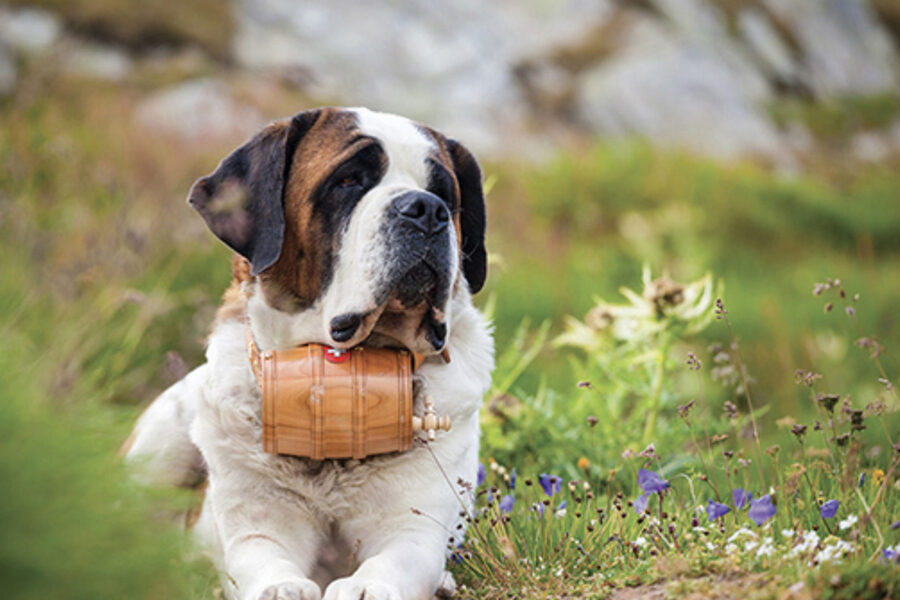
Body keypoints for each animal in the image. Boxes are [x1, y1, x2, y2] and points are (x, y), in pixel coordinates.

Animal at [121, 108, 492, 600]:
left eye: (445, 195)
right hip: (162, 437)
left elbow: (397, 558)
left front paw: (365, 587)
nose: (427, 209)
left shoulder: (413, 524)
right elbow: (262, 555)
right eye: (348, 180)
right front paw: (281, 587)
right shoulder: (260, 517)